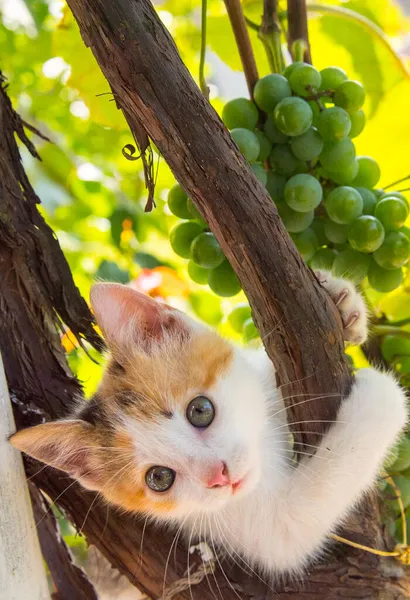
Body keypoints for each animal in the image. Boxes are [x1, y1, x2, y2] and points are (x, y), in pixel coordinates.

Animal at [9, 270, 406, 576]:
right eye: (159, 478)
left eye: (200, 410)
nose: (220, 476)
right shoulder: (270, 531)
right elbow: (305, 512)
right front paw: (382, 395)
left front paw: (341, 302)